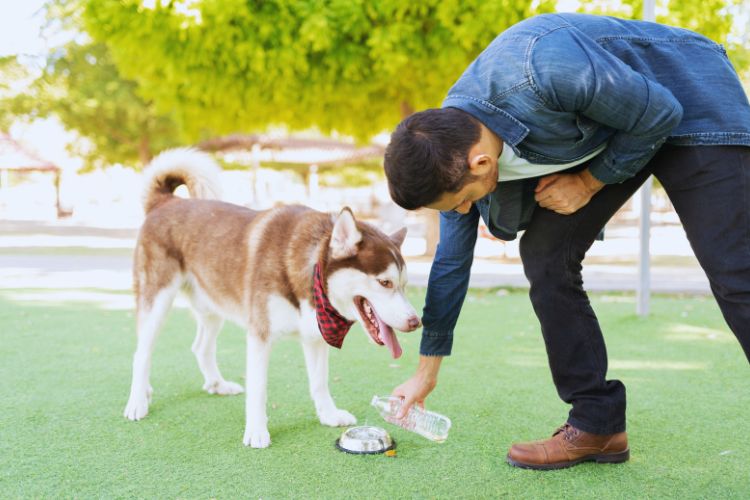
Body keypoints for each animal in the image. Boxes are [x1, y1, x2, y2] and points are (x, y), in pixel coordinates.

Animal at [123, 149, 424, 450]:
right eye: (385, 282)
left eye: (404, 285)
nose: (415, 322)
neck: (310, 271)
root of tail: (165, 202)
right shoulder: (260, 336)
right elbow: (259, 389)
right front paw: (256, 431)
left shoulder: (314, 336)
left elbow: (320, 382)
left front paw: (328, 415)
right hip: (157, 300)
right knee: (141, 353)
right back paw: (137, 401)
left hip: (213, 305)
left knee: (200, 347)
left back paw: (217, 385)